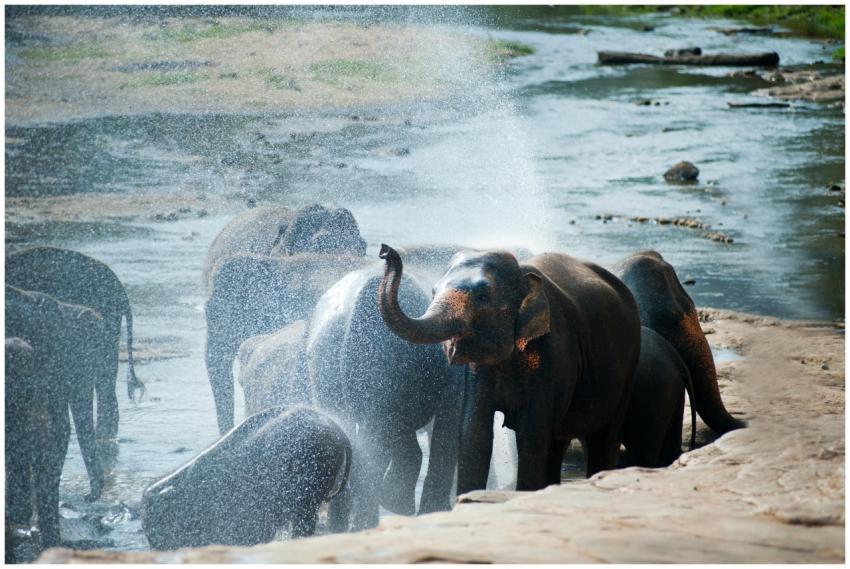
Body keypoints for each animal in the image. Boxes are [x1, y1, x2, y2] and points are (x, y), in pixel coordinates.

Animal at [377, 244, 641, 494]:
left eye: (483, 297)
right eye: (433, 291)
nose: (384, 251)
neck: (523, 274)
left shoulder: (553, 355)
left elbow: (531, 435)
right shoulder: (479, 370)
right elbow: (474, 433)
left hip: (629, 364)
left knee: (603, 437)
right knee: (558, 443)